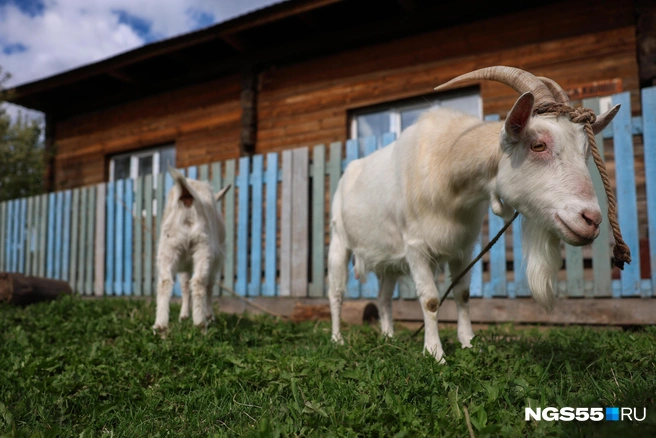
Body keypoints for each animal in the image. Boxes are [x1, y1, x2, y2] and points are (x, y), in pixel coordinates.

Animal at [153, 166, 231, 331]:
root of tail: (186, 194)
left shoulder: (184, 263)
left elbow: (184, 285)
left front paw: (183, 316)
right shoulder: (216, 261)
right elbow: (208, 285)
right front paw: (209, 316)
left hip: (168, 247)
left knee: (165, 282)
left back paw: (161, 326)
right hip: (203, 246)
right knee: (200, 282)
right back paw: (201, 323)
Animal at [328, 67, 620, 362]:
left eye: (585, 152)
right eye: (538, 145)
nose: (591, 220)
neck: (446, 169)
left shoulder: (464, 247)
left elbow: (463, 294)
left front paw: (469, 342)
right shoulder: (416, 248)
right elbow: (430, 299)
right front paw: (435, 353)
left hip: (387, 260)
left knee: (383, 296)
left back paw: (388, 338)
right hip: (339, 241)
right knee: (336, 292)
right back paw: (338, 339)